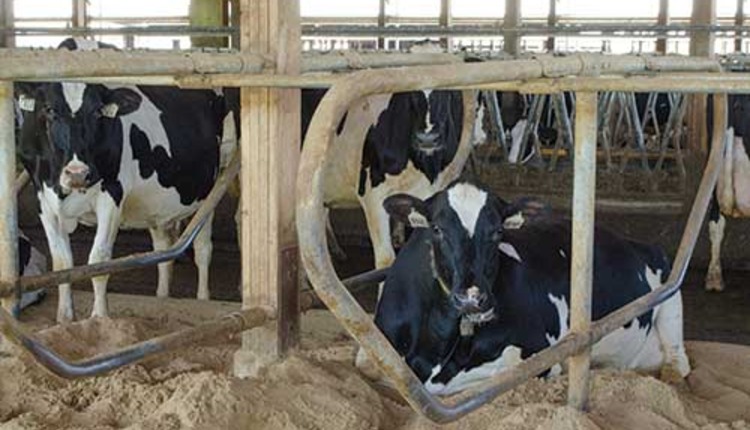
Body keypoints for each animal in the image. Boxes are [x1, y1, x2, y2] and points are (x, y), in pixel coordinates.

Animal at [17, 38, 236, 320]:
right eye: (49, 109)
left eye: (98, 112)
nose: (77, 173)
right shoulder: (43, 199)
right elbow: (62, 263)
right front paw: (64, 319)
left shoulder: (112, 194)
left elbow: (98, 261)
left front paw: (99, 318)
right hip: (159, 200)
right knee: (162, 249)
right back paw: (162, 298)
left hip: (215, 181)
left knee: (202, 249)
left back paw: (203, 300)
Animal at [366, 180, 692, 394]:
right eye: (436, 229)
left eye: (498, 231)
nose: (472, 298)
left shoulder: (535, 354)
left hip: (671, 295)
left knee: (678, 362)